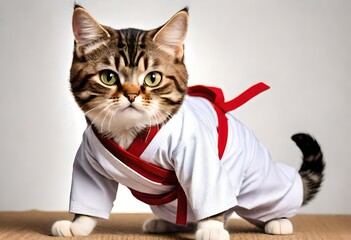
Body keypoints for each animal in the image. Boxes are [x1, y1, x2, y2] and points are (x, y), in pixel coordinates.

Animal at [51, 5, 326, 240]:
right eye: (108, 77)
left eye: (152, 78)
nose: (131, 94)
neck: (131, 131)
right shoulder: (90, 158)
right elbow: (89, 195)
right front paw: (78, 225)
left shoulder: (198, 152)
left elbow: (208, 191)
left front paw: (212, 228)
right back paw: (167, 223)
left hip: (260, 184)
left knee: (271, 203)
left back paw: (278, 221)